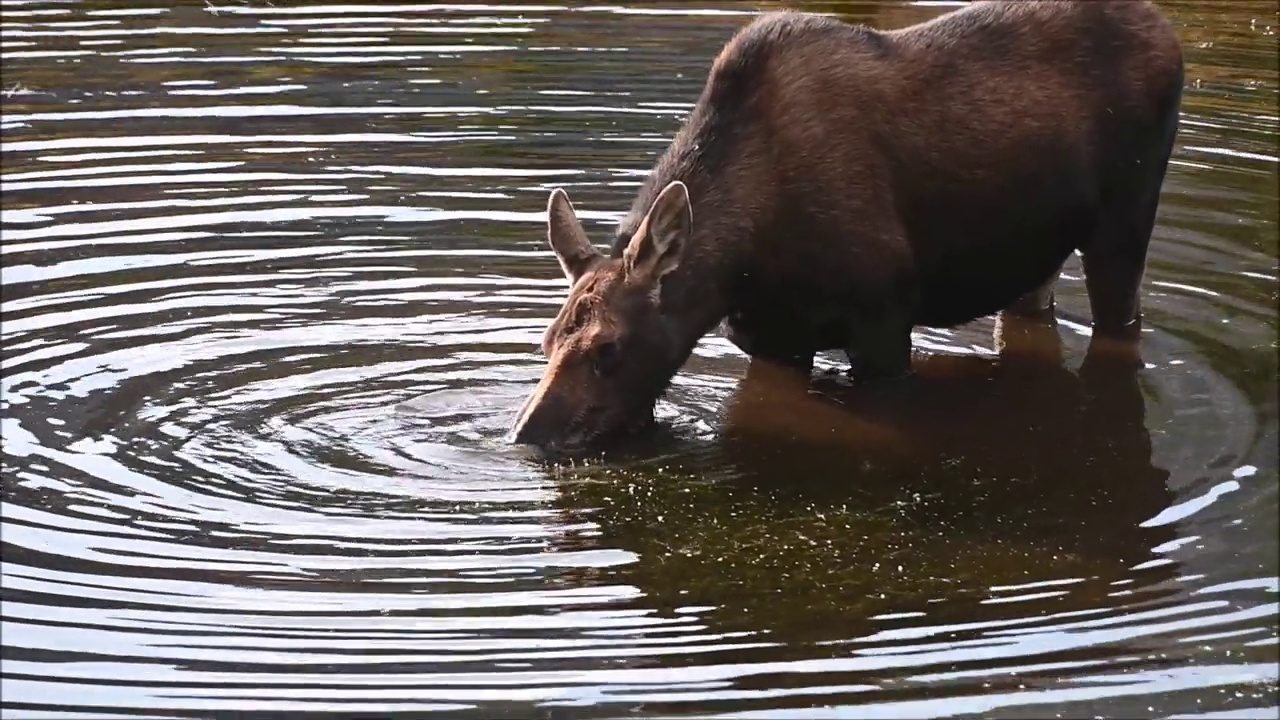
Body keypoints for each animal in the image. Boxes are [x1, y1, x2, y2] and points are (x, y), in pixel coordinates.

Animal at [506, 0, 1177, 448]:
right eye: (545, 341)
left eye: (608, 348)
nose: (527, 438)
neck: (742, 263)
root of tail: (1164, 31)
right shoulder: (773, 339)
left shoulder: (884, 319)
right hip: (1037, 253)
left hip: (1125, 220)